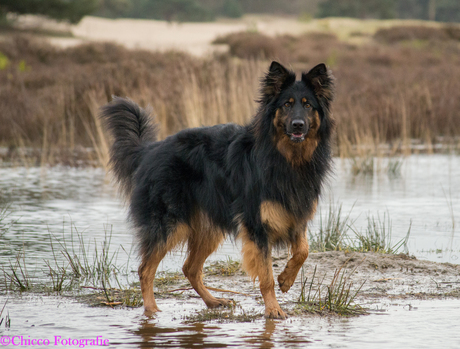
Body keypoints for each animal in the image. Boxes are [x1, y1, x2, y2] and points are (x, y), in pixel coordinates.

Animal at [100, 61, 334, 318]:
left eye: (307, 105)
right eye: (287, 105)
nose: (298, 125)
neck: (286, 158)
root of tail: (150, 150)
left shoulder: (297, 215)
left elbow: (303, 250)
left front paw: (286, 279)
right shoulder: (257, 226)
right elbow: (266, 276)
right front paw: (273, 308)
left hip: (208, 229)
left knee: (190, 268)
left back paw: (213, 301)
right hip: (169, 225)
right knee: (145, 269)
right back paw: (152, 311)